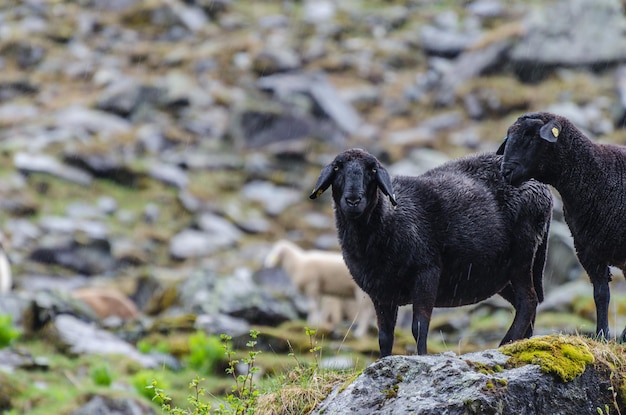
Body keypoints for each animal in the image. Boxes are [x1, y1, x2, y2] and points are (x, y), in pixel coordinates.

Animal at [310, 150, 548, 358]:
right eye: (337, 168)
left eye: (372, 170)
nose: (353, 200)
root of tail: (542, 187)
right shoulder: (380, 292)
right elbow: (384, 336)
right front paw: (383, 361)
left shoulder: (426, 272)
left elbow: (419, 326)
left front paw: (422, 357)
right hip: (499, 274)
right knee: (526, 303)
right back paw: (522, 342)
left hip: (522, 254)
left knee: (528, 301)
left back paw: (507, 343)